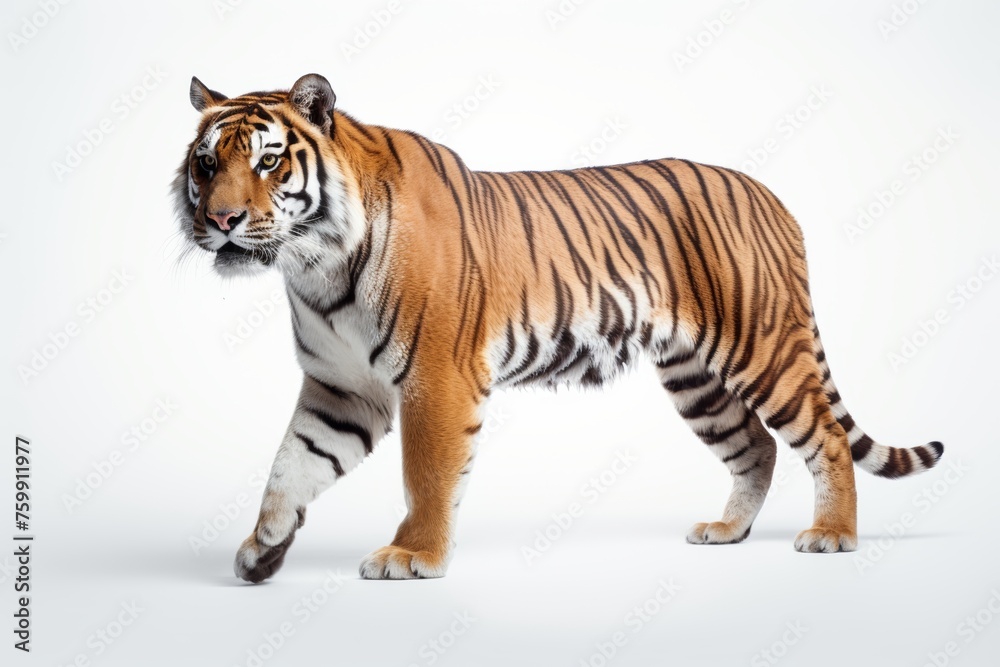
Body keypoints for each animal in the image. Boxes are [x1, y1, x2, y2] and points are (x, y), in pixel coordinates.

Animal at [173, 73, 944, 582]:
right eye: (206, 164)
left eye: (269, 160)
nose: (221, 220)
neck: (315, 264)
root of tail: (772, 195)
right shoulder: (341, 388)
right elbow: (291, 464)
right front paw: (264, 546)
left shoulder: (437, 378)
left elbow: (426, 473)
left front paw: (413, 555)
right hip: (697, 377)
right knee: (754, 445)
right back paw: (727, 531)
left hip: (764, 347)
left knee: (826, 436)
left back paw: (831, 536)